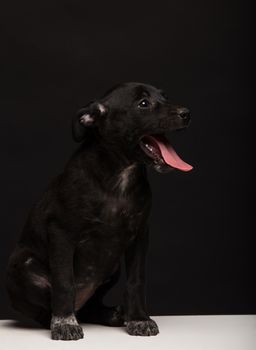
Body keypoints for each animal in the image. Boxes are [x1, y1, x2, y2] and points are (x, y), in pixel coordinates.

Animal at [6, 81, 192, 340]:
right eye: (143, 103)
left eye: (165, 97)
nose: (186, 113)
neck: (119, 175)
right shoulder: (61, 233)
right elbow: (64, 282)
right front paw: (64, 323)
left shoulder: (140, 234)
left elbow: (136, 280)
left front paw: (138, 318)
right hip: (23, 266)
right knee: (48, 309)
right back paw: (63, 318)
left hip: (111, 267)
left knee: (90, 307)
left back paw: (114, 315)